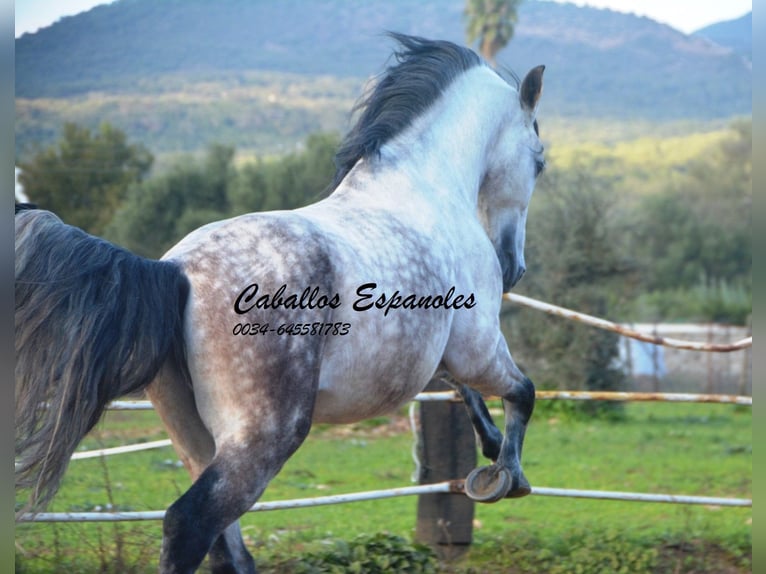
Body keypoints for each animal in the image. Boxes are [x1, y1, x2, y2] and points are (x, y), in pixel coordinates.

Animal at [18, 33, 544, 572]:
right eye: (540, 161)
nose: (512, 266)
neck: (422, 188)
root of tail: (177, 272)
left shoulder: (438, 353)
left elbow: (463, 388)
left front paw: (493, 449)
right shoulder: (477, 345)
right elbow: (522, 390)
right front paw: (507, 476)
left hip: (196, 438)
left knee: (227, 550)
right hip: (264, 437)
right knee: (188, 524)